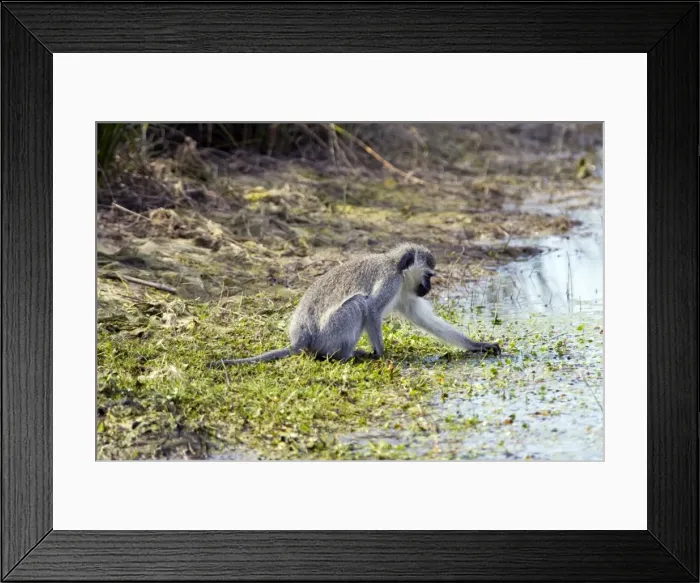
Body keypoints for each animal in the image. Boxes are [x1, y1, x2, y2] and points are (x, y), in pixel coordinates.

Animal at [207, 242, 500, 367]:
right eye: (429, 275)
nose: (428, 288)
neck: (396, 266)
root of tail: (300, 340)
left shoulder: (405, 292)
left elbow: (425, 320)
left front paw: (479, 345)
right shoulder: (392, 280)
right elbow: (371, 309)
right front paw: (381, 354)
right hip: (328, 335)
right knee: (358, 304)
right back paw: (346, 356)